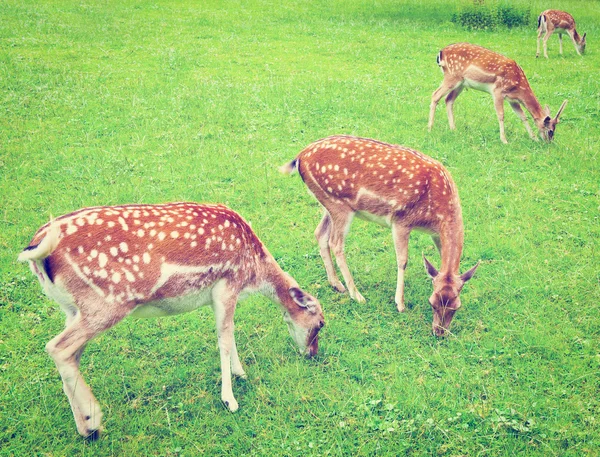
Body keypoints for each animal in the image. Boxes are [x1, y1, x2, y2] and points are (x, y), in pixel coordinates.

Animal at [18, 202, 326, 438]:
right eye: (320, 324)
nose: (312, 353)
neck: (252, 273)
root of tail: (38, 249)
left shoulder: (221, 295)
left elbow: (229, 332)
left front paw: (241, 372)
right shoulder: (227, 283)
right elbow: (224, 340)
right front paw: (230, 399)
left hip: (72, 309)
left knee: (70, 354)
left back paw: (85, 422)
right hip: (105, 303)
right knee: (58, 348)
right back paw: (92, 423)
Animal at [278, 134, 480, 336]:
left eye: (456, 306)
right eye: (432, 303)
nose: (439, 332)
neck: (438, 214)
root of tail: (300, 157)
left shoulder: (435, 234)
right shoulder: (401, 220)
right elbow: (402, 260)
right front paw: (400, 304)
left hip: (328, 204)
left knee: (320, 233)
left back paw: (337, 284)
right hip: (339, 205)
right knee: (336, 243)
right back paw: (357, 295)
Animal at [426, 43, 568, 143]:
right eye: (550, 130)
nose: (549, 142)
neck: (519, 86)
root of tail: (441, 54)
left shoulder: (512, 100)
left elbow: (522, 116)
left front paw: (534, 138)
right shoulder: (498, 91)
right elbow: (501, 115)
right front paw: (504, 140)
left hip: (461, 83)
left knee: (448, 99)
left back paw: (453, 129)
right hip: (452, 76)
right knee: (435, 95)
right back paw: (430, 128)